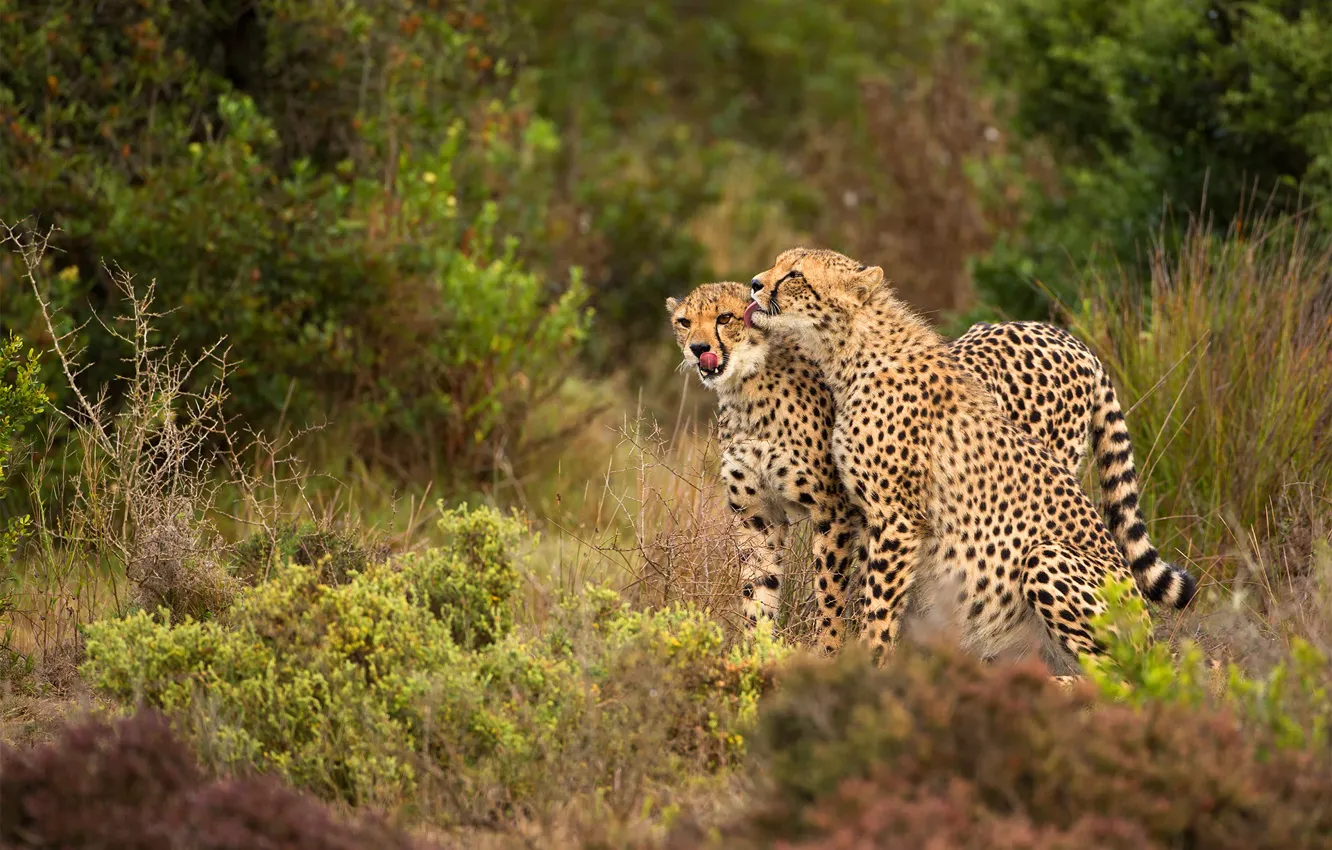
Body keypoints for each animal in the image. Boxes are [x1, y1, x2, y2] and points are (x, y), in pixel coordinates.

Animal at [667, 279, 1194, 660]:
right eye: (683, 321)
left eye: (726, 318)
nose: (697, 349)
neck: (747, 393)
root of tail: (1067, 337)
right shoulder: (757, 517)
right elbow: (758, 593)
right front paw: (753, 655)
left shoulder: (837, 513)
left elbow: (832, 596)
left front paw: (828, 656)